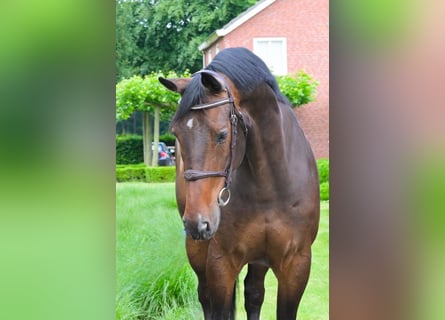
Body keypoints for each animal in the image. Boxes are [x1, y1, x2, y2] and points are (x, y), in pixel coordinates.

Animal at [158, 47, 318, 320]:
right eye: (176, 133)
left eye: (222, 135)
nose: (197, 222)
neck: (269, 189)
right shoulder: (221, 263)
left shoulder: (296, 265)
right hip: (197, 250)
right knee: (205, 296)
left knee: (254, 294)